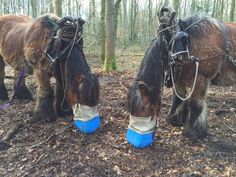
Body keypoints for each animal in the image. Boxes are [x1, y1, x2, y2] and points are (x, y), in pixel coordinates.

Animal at [128, 8, 235, 142]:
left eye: (143, 108)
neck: (187, 43)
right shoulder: (178, 78)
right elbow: (178, 98)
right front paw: (175, 119)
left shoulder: (201, 79)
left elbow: (195, 104)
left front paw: (193, 132)